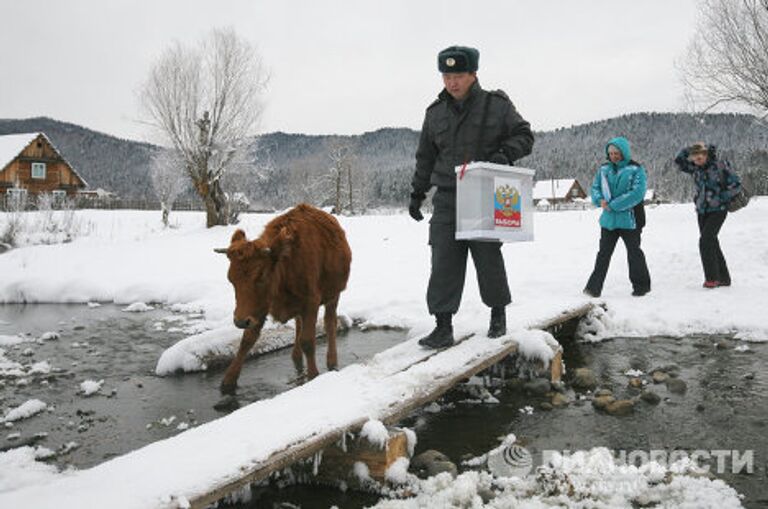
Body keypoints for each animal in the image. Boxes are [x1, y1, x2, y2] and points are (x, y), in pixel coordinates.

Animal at [213, 202, 352, 392]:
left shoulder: (311, 302)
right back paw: (296, 356)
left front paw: (313, 376)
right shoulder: (260, 308)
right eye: (231, 279)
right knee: (299, 323)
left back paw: (332, 362)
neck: (284, 265)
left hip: (334, 295)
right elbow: (247, 340)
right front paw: (228, 382)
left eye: (262, 276)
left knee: (330, 323)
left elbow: (308, 340)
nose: (240, 321)